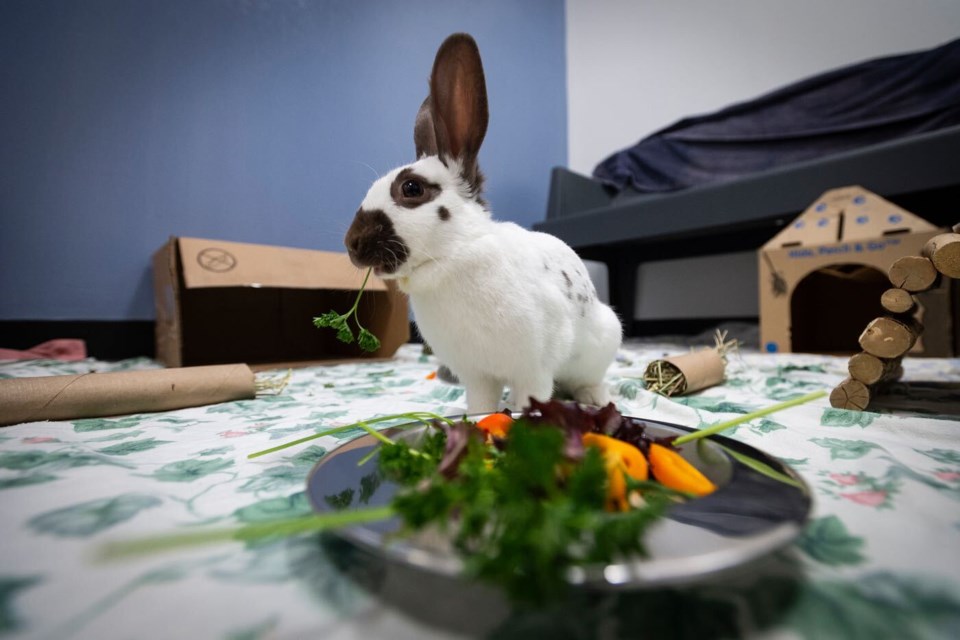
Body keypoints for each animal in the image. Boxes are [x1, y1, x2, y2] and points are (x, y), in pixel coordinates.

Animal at [344, 33, 624, 416]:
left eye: (411, 189)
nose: (351, 244)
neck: (452, 256)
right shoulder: (476, 375)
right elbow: (480, 403)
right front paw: (477, 417)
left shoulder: (533, 369)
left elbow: (532, 395)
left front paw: (523, 413)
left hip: (602, 341)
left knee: (588, 379)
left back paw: (595, 398)